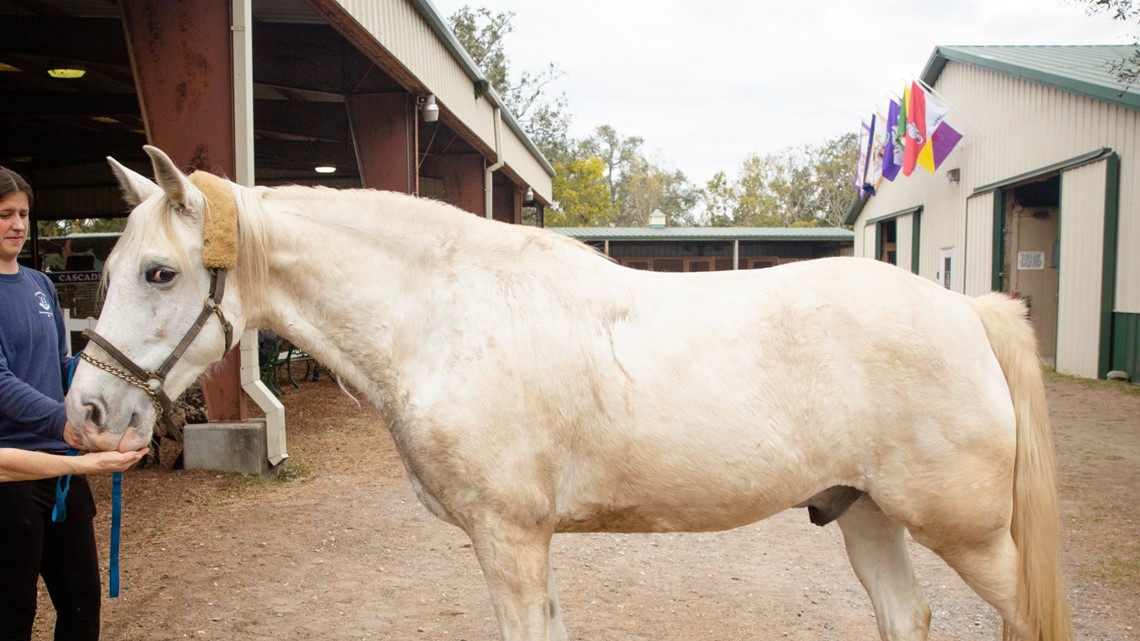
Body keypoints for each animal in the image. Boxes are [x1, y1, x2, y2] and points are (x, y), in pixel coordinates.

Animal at [65, 145, 1073, 641]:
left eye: (158, 271)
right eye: (106, 267)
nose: (87, 414)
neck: (447, 315)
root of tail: (966, 308)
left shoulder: (509, 539)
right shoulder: (525, 542)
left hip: (968, 533)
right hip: (865, 512)